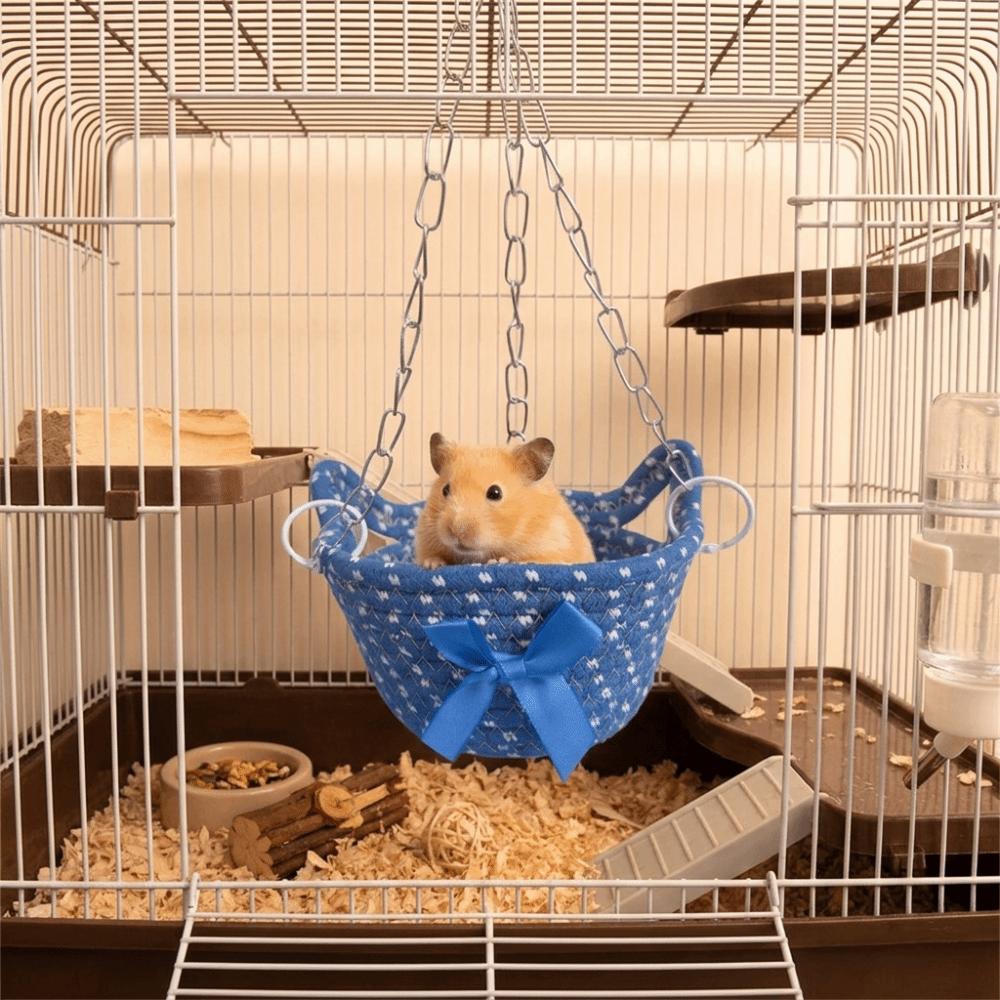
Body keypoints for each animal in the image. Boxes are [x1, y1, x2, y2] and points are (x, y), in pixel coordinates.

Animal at [414, 433, 596, 569]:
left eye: (495, 493)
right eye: (445, 490)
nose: (457, 531)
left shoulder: (554, 548)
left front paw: (498, 561)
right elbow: (431, 555)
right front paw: (432, 564)